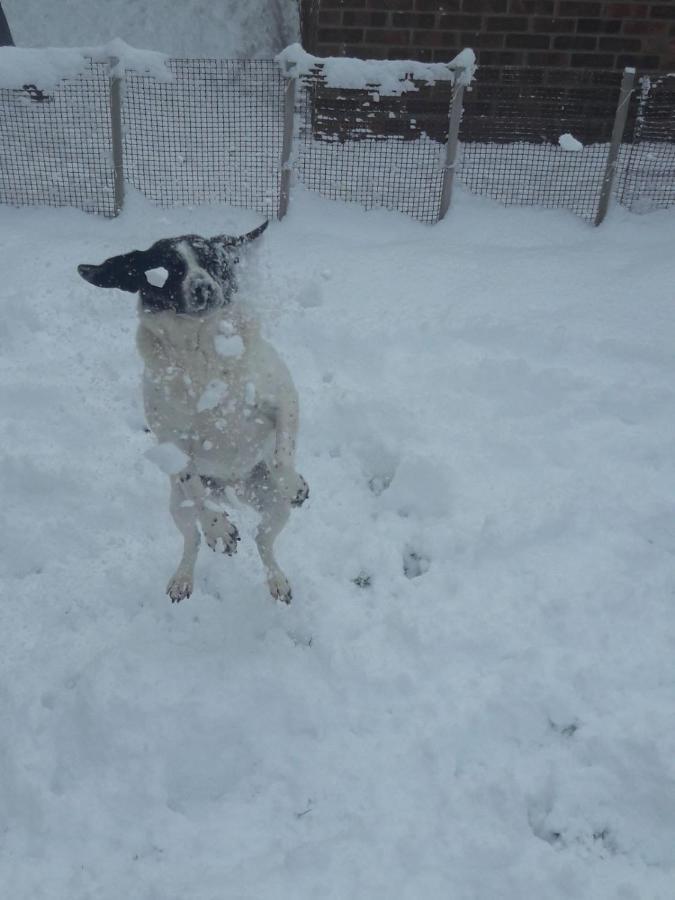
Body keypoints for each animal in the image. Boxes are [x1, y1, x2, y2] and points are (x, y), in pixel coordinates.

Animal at [78, 221, 308, 604]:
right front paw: (219, 529)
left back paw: (277, 578)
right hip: (177, 506)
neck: (201, 352)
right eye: (169, 269)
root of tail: (233, 487)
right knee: (193, 537)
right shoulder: (174, 442)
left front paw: (292, 481)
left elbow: (283, 454)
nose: (204, 287)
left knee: (264, 541)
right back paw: (185, 574)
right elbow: (197, 494)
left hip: (275, 507)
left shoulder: (285, 401)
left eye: (213, 261)